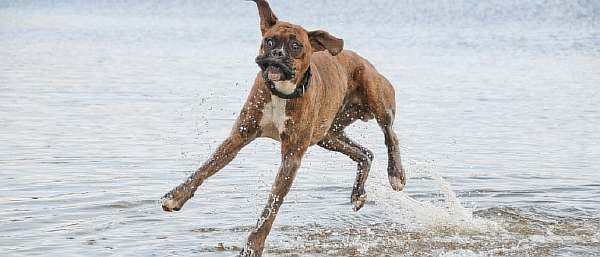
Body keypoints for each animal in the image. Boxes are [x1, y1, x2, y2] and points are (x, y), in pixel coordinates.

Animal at [159, 1, 406, 255]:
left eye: (296, 46)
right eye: (269, 41)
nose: (277, 54)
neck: (282, 92)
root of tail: (362, 59)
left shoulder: (291, 157)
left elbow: (272, 205)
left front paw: (253, 246)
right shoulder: (238, 137)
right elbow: (205, 168)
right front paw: (176, 196)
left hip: (377, 100)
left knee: (390, 135)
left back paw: (396, 174)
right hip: (328, 136)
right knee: (365, 153)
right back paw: (358, 194)